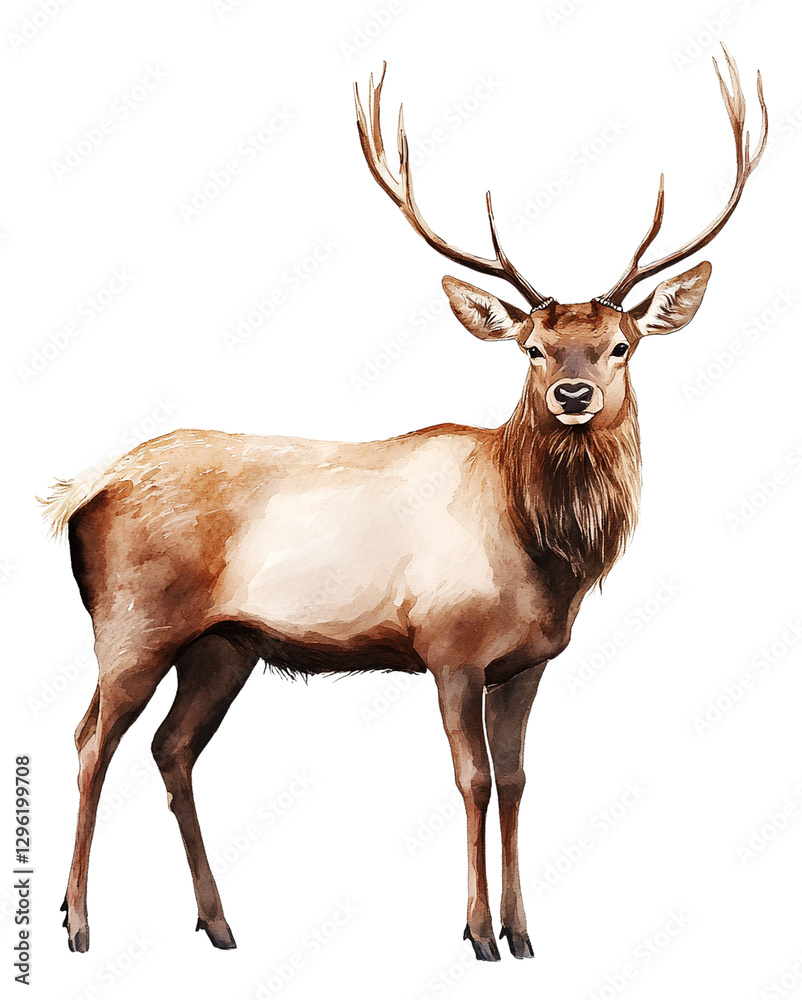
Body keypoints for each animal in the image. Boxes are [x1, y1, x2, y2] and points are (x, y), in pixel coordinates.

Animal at [42, 45, 766, 961]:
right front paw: (477, 932)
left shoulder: (526, 663)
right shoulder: (449, 646)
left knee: (171, 749)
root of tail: (83, 488)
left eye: (620, 346)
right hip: (132, 622)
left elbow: (519, 779)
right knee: (89, 741)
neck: (543, 555)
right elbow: (473, 779)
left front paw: (525, 933)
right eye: (531, 347)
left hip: (222, 646)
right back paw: (77, 923)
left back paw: (218, 923)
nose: (572, 394)